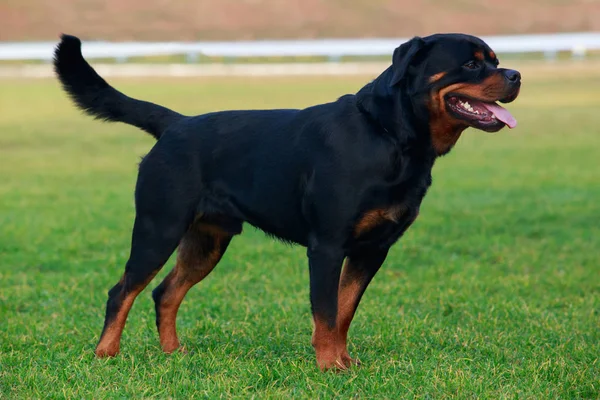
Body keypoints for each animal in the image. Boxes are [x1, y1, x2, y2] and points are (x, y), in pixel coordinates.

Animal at [52, 33, 520, 372]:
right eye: (472, 63)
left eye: (495, 60)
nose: (515, 74)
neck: (391, 136)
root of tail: (176, 124)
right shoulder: (327, 246)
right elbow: (326, 311)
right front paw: (330, 366)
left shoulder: (372, 250)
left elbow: (345, 310)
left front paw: (344, 360)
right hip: (158, 227)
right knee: (122, 291)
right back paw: (106, 354)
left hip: (208, 240)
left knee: (165, 292)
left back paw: (173, 353)